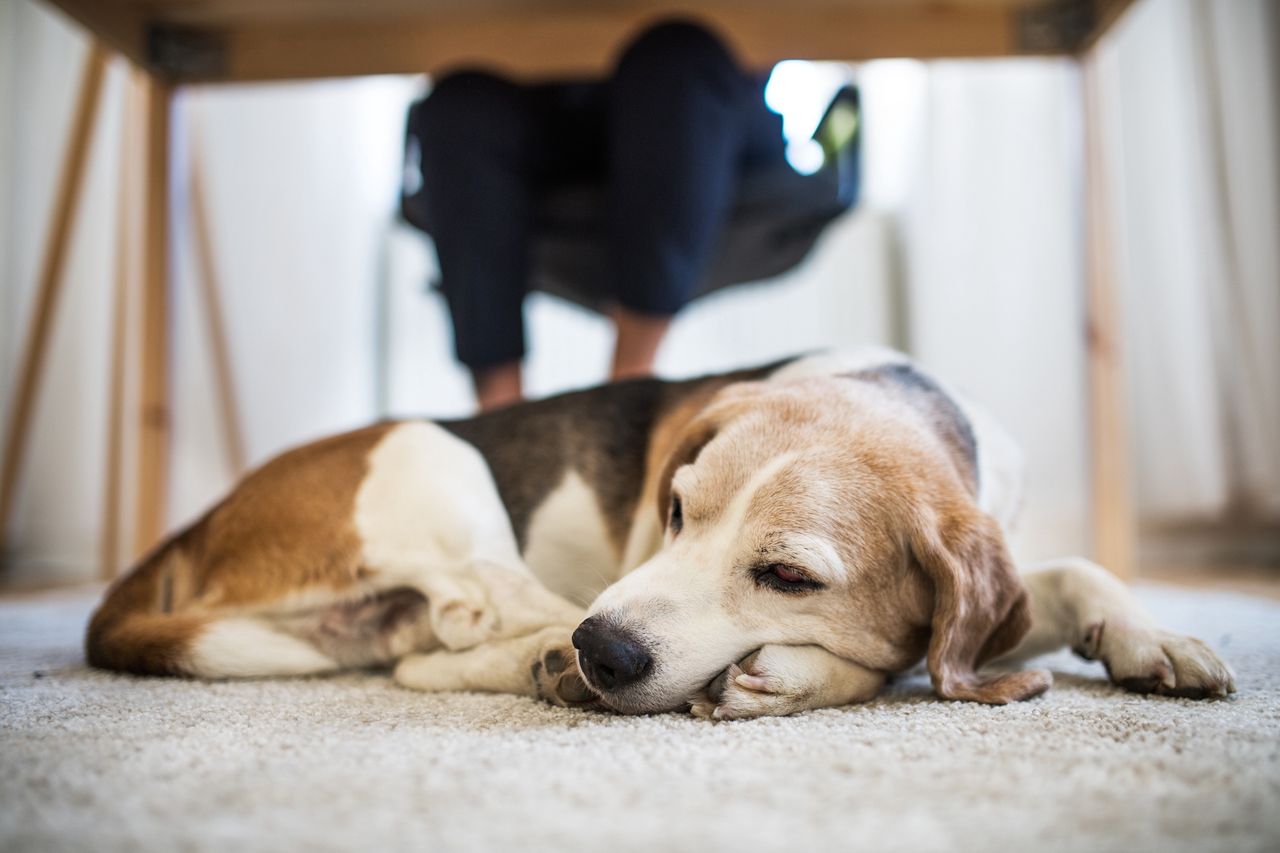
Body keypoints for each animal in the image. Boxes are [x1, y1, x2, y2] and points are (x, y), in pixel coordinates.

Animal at [85, 348, 1233, 712]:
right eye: (675, 508)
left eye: (788, 574)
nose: (604, 652)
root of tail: (203, 520)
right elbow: (895, 661)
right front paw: (802, 673)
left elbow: (1076, 571)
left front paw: (1156, 638)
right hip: (436, 456)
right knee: (473, 620)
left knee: (428, 652)